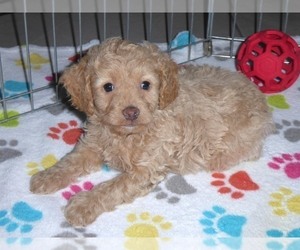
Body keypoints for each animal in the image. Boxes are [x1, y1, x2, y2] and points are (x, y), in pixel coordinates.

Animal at [31, 37, 274, 227]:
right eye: (108, 87)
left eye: (145, 85)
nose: (131, 112)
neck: (126, 135)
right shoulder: (92, 144)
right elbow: (70, 161)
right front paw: (46, 177)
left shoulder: (145, 169)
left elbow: (112, 188)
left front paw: (82, 205)